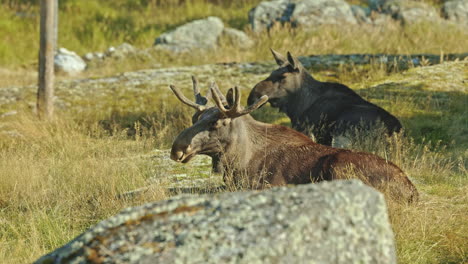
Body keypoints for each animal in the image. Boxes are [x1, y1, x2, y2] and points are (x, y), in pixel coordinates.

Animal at [170, 76, 418, 202]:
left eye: (215, 123)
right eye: (195, 117)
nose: (177, 149)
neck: (238, 162)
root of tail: (412, 191)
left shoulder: (269, 185)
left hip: (340, 167)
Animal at [247, 49, 404, 146]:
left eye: (282, 76)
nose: (252, 96)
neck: (298, 105)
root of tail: (394, 131)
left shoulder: (305, 129)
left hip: (342, 133)